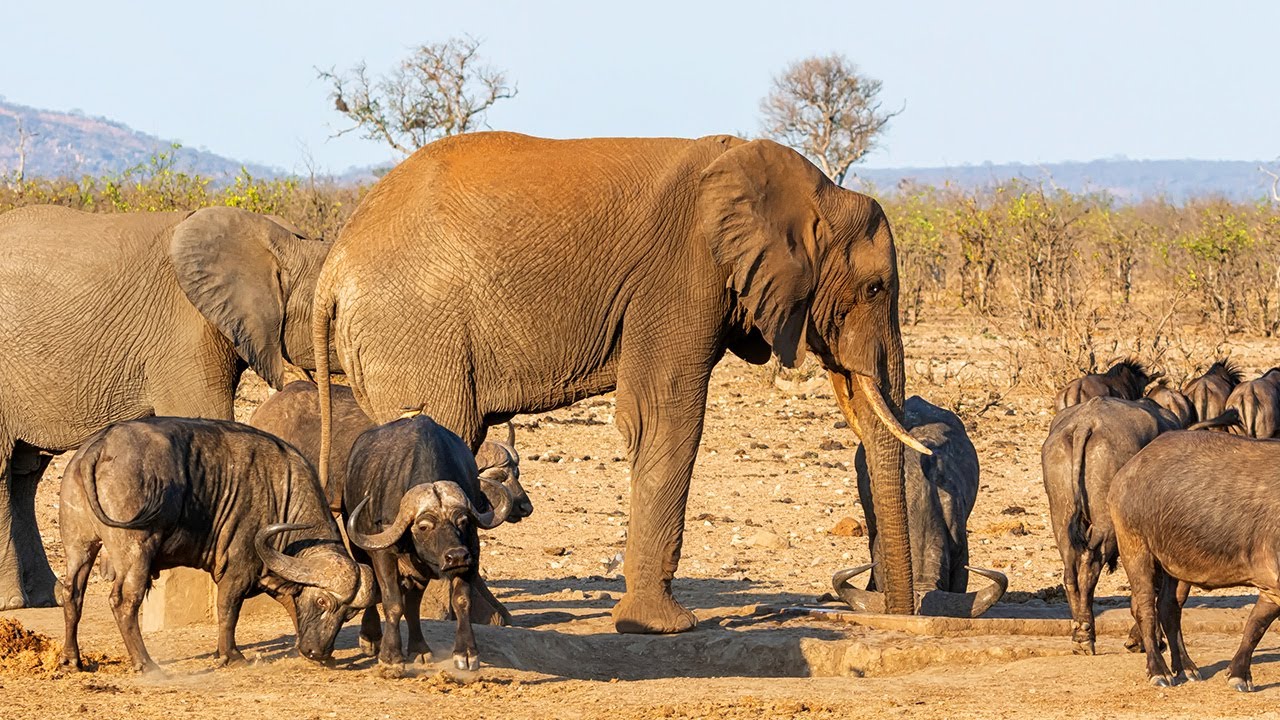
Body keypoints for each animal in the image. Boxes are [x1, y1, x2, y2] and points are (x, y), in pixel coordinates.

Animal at [0, 204, 332, 608]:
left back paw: (47, 596)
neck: (279, 240)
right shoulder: (185, 332)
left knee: (25, 475)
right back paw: (14, 602)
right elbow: (207, 418)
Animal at [311, 131, 932, 633]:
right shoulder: (681, 277)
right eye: (876, 288)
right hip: (415, 330)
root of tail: (333, 267)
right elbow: (663, 416)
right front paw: (662, 627)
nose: (897, 616)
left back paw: (491, 618)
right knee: (445, 435)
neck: (809, 189)